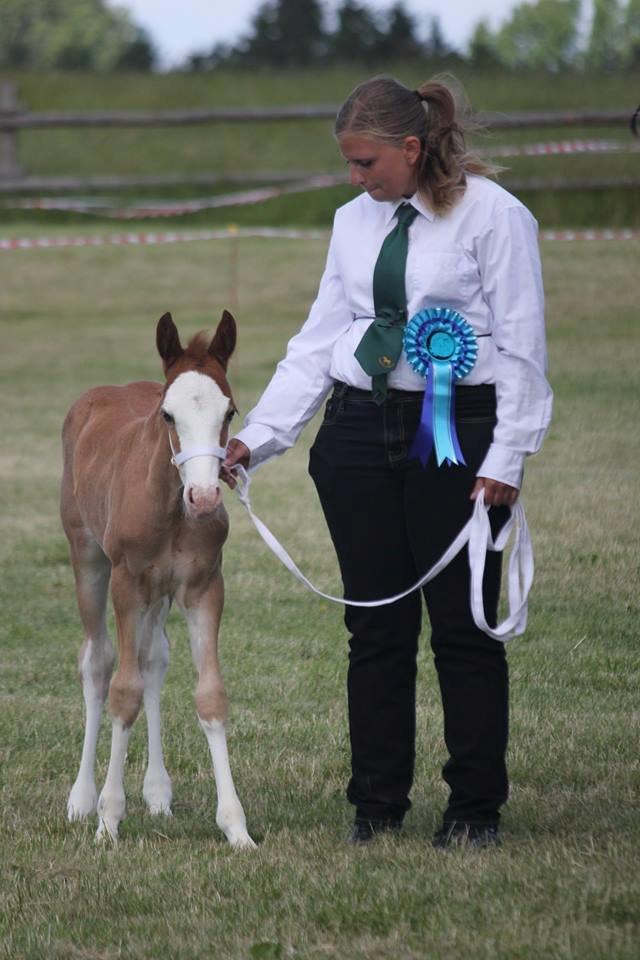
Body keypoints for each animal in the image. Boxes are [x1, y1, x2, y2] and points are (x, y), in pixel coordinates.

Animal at [61, 312, 254, 844]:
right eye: (167, 415)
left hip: (160, 594)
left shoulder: (204, 587)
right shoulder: (128, 584)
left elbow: (209, 695)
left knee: (153, 659)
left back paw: (157, 792)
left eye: (230, 411)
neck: (169, 508)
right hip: (89, 560)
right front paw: (108, 820)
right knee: (97, 662)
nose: (204, 497)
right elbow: (122, 691)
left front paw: (236, 827)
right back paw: (82, 798)